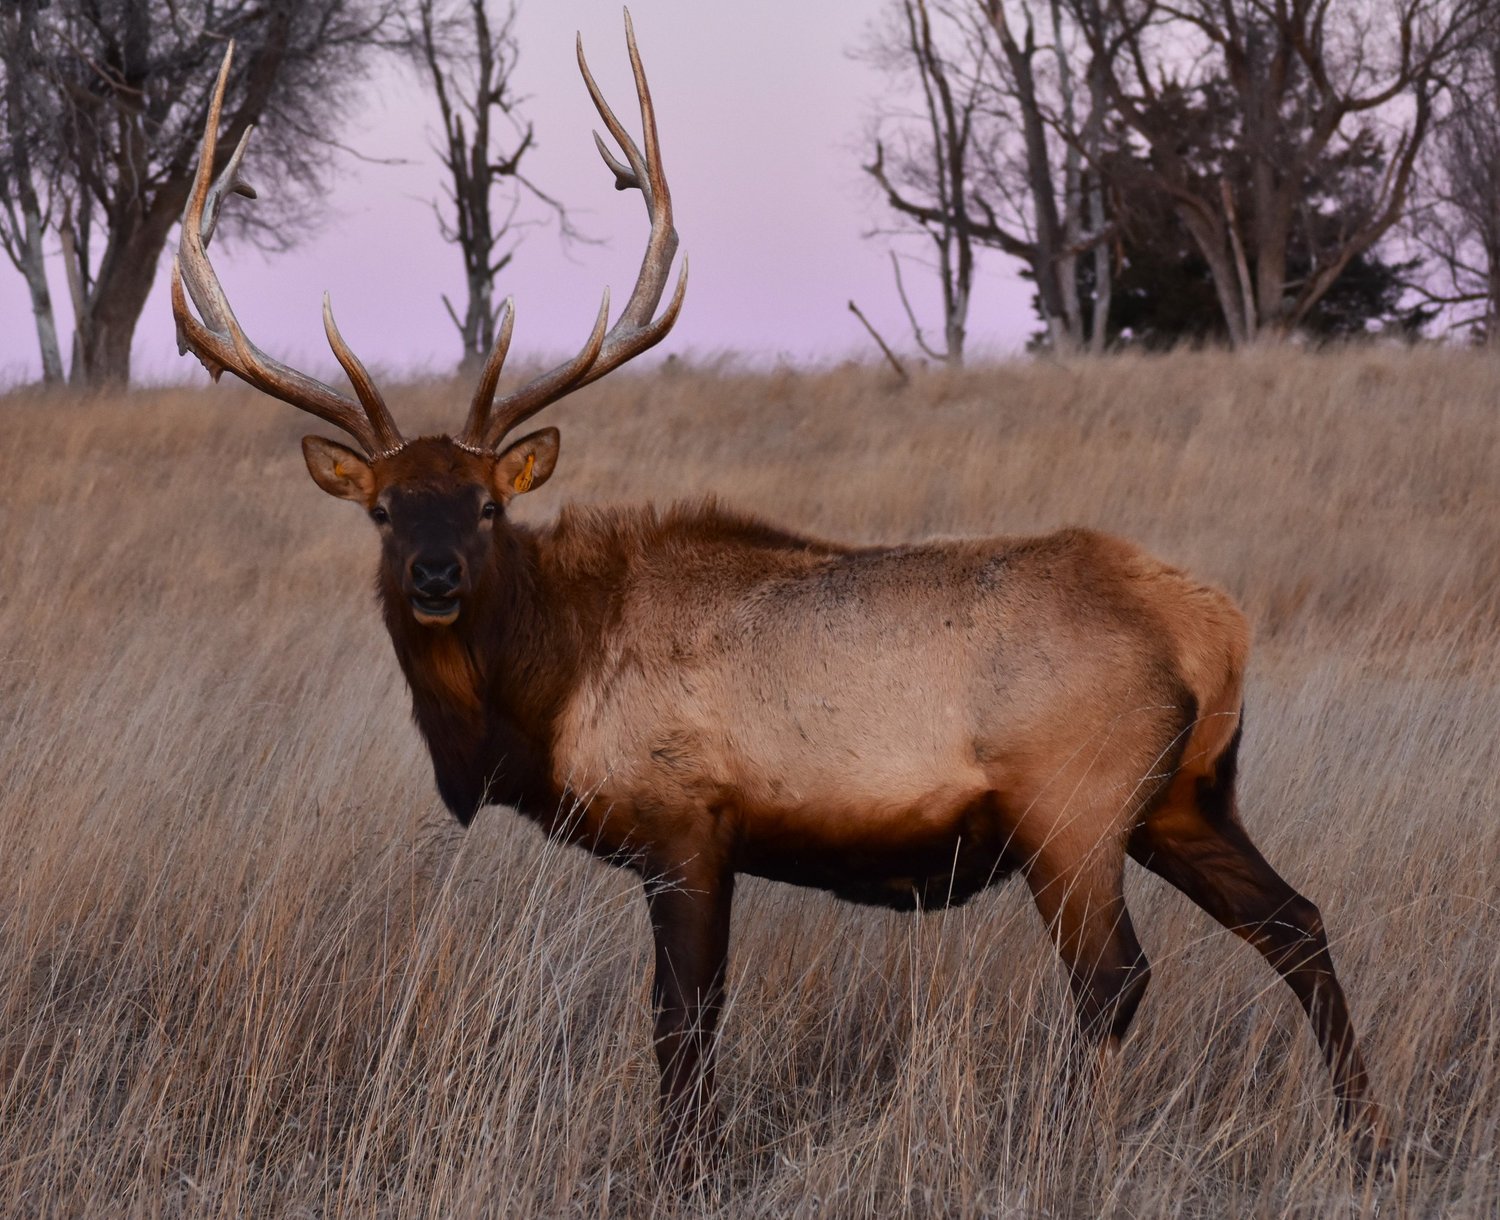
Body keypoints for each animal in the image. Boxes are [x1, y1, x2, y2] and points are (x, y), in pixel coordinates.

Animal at [173, 15, 1382, 1170]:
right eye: (383, 509)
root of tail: (1213, 628)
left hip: (1074, 807)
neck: (548, 688)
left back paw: (1074, 1147)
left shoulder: (685, 822)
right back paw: (1360, 1134)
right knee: (1299, 923)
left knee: (1116, 977)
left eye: (483, 506)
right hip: (1185, 797)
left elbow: (684, 1017)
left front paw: (685, 1166)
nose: (433, 576)